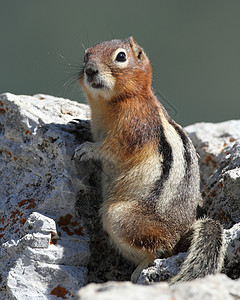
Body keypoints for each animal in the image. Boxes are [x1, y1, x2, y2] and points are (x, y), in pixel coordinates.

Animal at [74, 37, 225, 284]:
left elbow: (111, 148)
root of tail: (180, 236)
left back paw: (140, 270)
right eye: (86, 55)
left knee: (159, 249)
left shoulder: (133, 129)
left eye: (121, 56)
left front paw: (87, 149)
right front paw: (79, 125)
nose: (90, 70)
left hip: (119, 216)